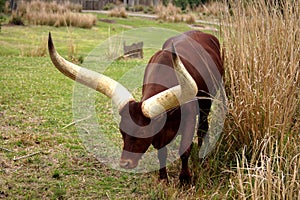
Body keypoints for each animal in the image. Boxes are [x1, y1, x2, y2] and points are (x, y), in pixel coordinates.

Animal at [48, 30, 224, 183]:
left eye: (142, 132)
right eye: (121, 130)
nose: (125, 163)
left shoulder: (189, 121)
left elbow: (185, 151)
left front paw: (185, 179)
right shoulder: (159, 134)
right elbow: (162, 153)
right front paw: (163, 179)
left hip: (207, 104)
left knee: (203, 129)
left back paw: (202, 156)